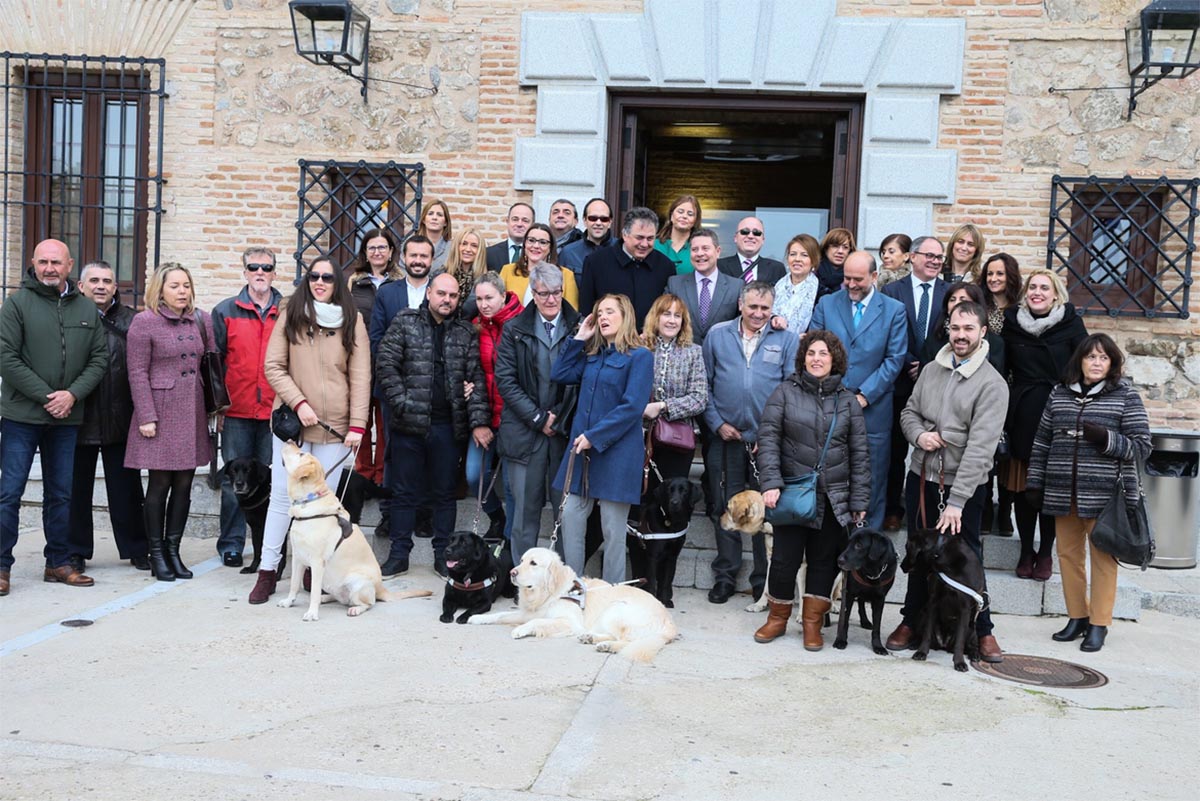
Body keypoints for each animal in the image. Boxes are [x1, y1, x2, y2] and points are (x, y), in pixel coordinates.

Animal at [276, 441, 432, 623]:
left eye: (301, 454)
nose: (290, 440)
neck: (308, 501)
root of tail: (381, 588)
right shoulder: (298, 558)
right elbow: (294, 584)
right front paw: (289, 601)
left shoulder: (317, 562)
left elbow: (313, 591)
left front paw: (312, 613)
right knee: (340, 598)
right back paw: (326, 598)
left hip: (357, 581)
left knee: (368, 603)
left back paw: (354, 609)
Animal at [465, 544, 676, 661]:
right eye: (522, 560)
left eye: (533, 563)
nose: (512, 573)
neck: (549, 593)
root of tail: (670, 622)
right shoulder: (528, 612)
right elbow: (500, 614)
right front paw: (477, 618)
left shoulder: (568, 622)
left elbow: (537, 622)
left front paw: (521, 629)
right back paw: (591, 638)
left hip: (616, 609)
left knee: (627, 641)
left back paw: (607, 646)